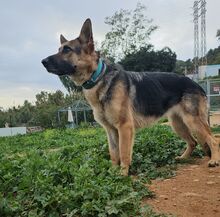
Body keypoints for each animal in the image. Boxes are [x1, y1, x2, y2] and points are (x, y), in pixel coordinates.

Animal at [41, 18, 220, 176]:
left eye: (67, 49)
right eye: (59, 49)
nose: (42, 61)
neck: (98, 77)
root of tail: (196, 84)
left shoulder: (124, 127)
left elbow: (124, 153)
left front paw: (122, 175)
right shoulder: (110, 130)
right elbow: (114, 154)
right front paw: (112, 173)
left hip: (193, 121)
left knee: (212, 140)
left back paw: (214, 160)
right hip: (177, 124)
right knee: (193, 142)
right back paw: (183, 158)